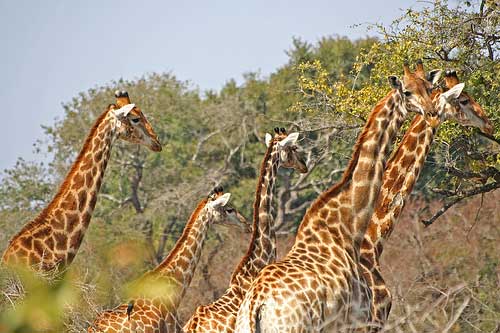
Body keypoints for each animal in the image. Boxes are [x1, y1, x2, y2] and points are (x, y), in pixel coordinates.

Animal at [235, 61, 442, 330]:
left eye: (429, 87)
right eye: (406, 92)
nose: (431, 112)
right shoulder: (358, 321)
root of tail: (256, 306)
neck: (347, 226)